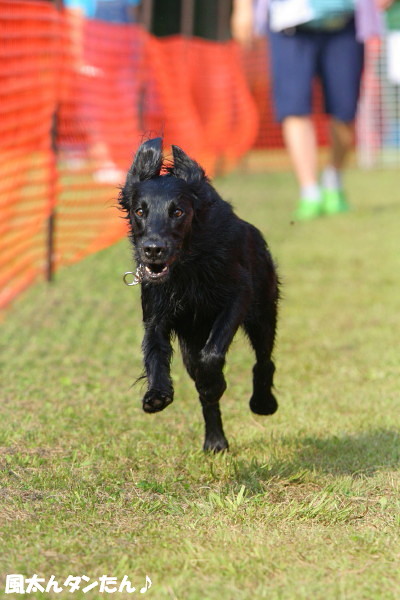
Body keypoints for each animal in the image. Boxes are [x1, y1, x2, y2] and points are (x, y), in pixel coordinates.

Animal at [120, 139, 280, 450]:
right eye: (140, 212)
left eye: (178, 212)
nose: (153, 249)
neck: (187, 267)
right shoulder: (156, 315)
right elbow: (155, 353)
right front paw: (157, 394)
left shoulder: (237, 296)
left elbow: (213, 354)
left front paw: (214, 382)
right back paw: (215, 441)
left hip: (263, 312)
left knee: (264, 360)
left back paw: (263, 403)